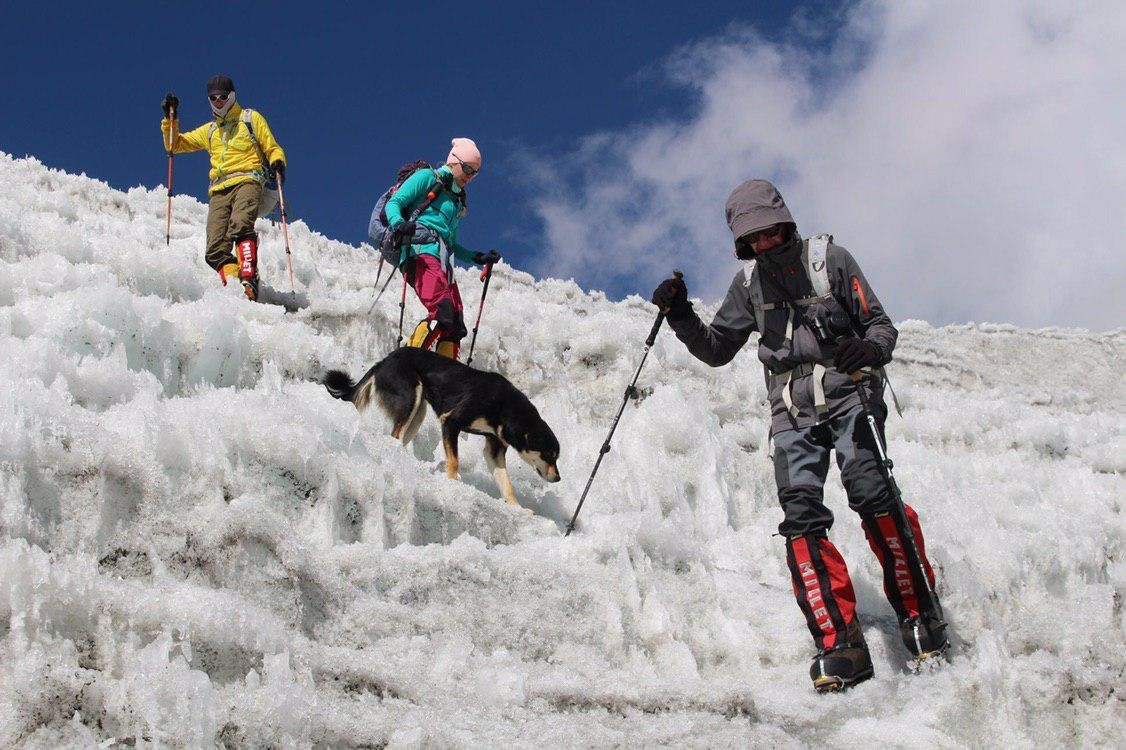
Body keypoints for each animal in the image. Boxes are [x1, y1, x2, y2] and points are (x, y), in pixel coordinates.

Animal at [322, 346, 558, 504]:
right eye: (549, 455)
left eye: (555, 457)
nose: (558, 478)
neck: (505, 407)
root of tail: (386, 359)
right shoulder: (451, 422)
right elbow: (454, 462)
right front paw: (452, 484)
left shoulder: (495, 449)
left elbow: (506, 483)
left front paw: (517, 508)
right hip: (410, 398)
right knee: (396, 435)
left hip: (418, 412)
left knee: (400, 438)